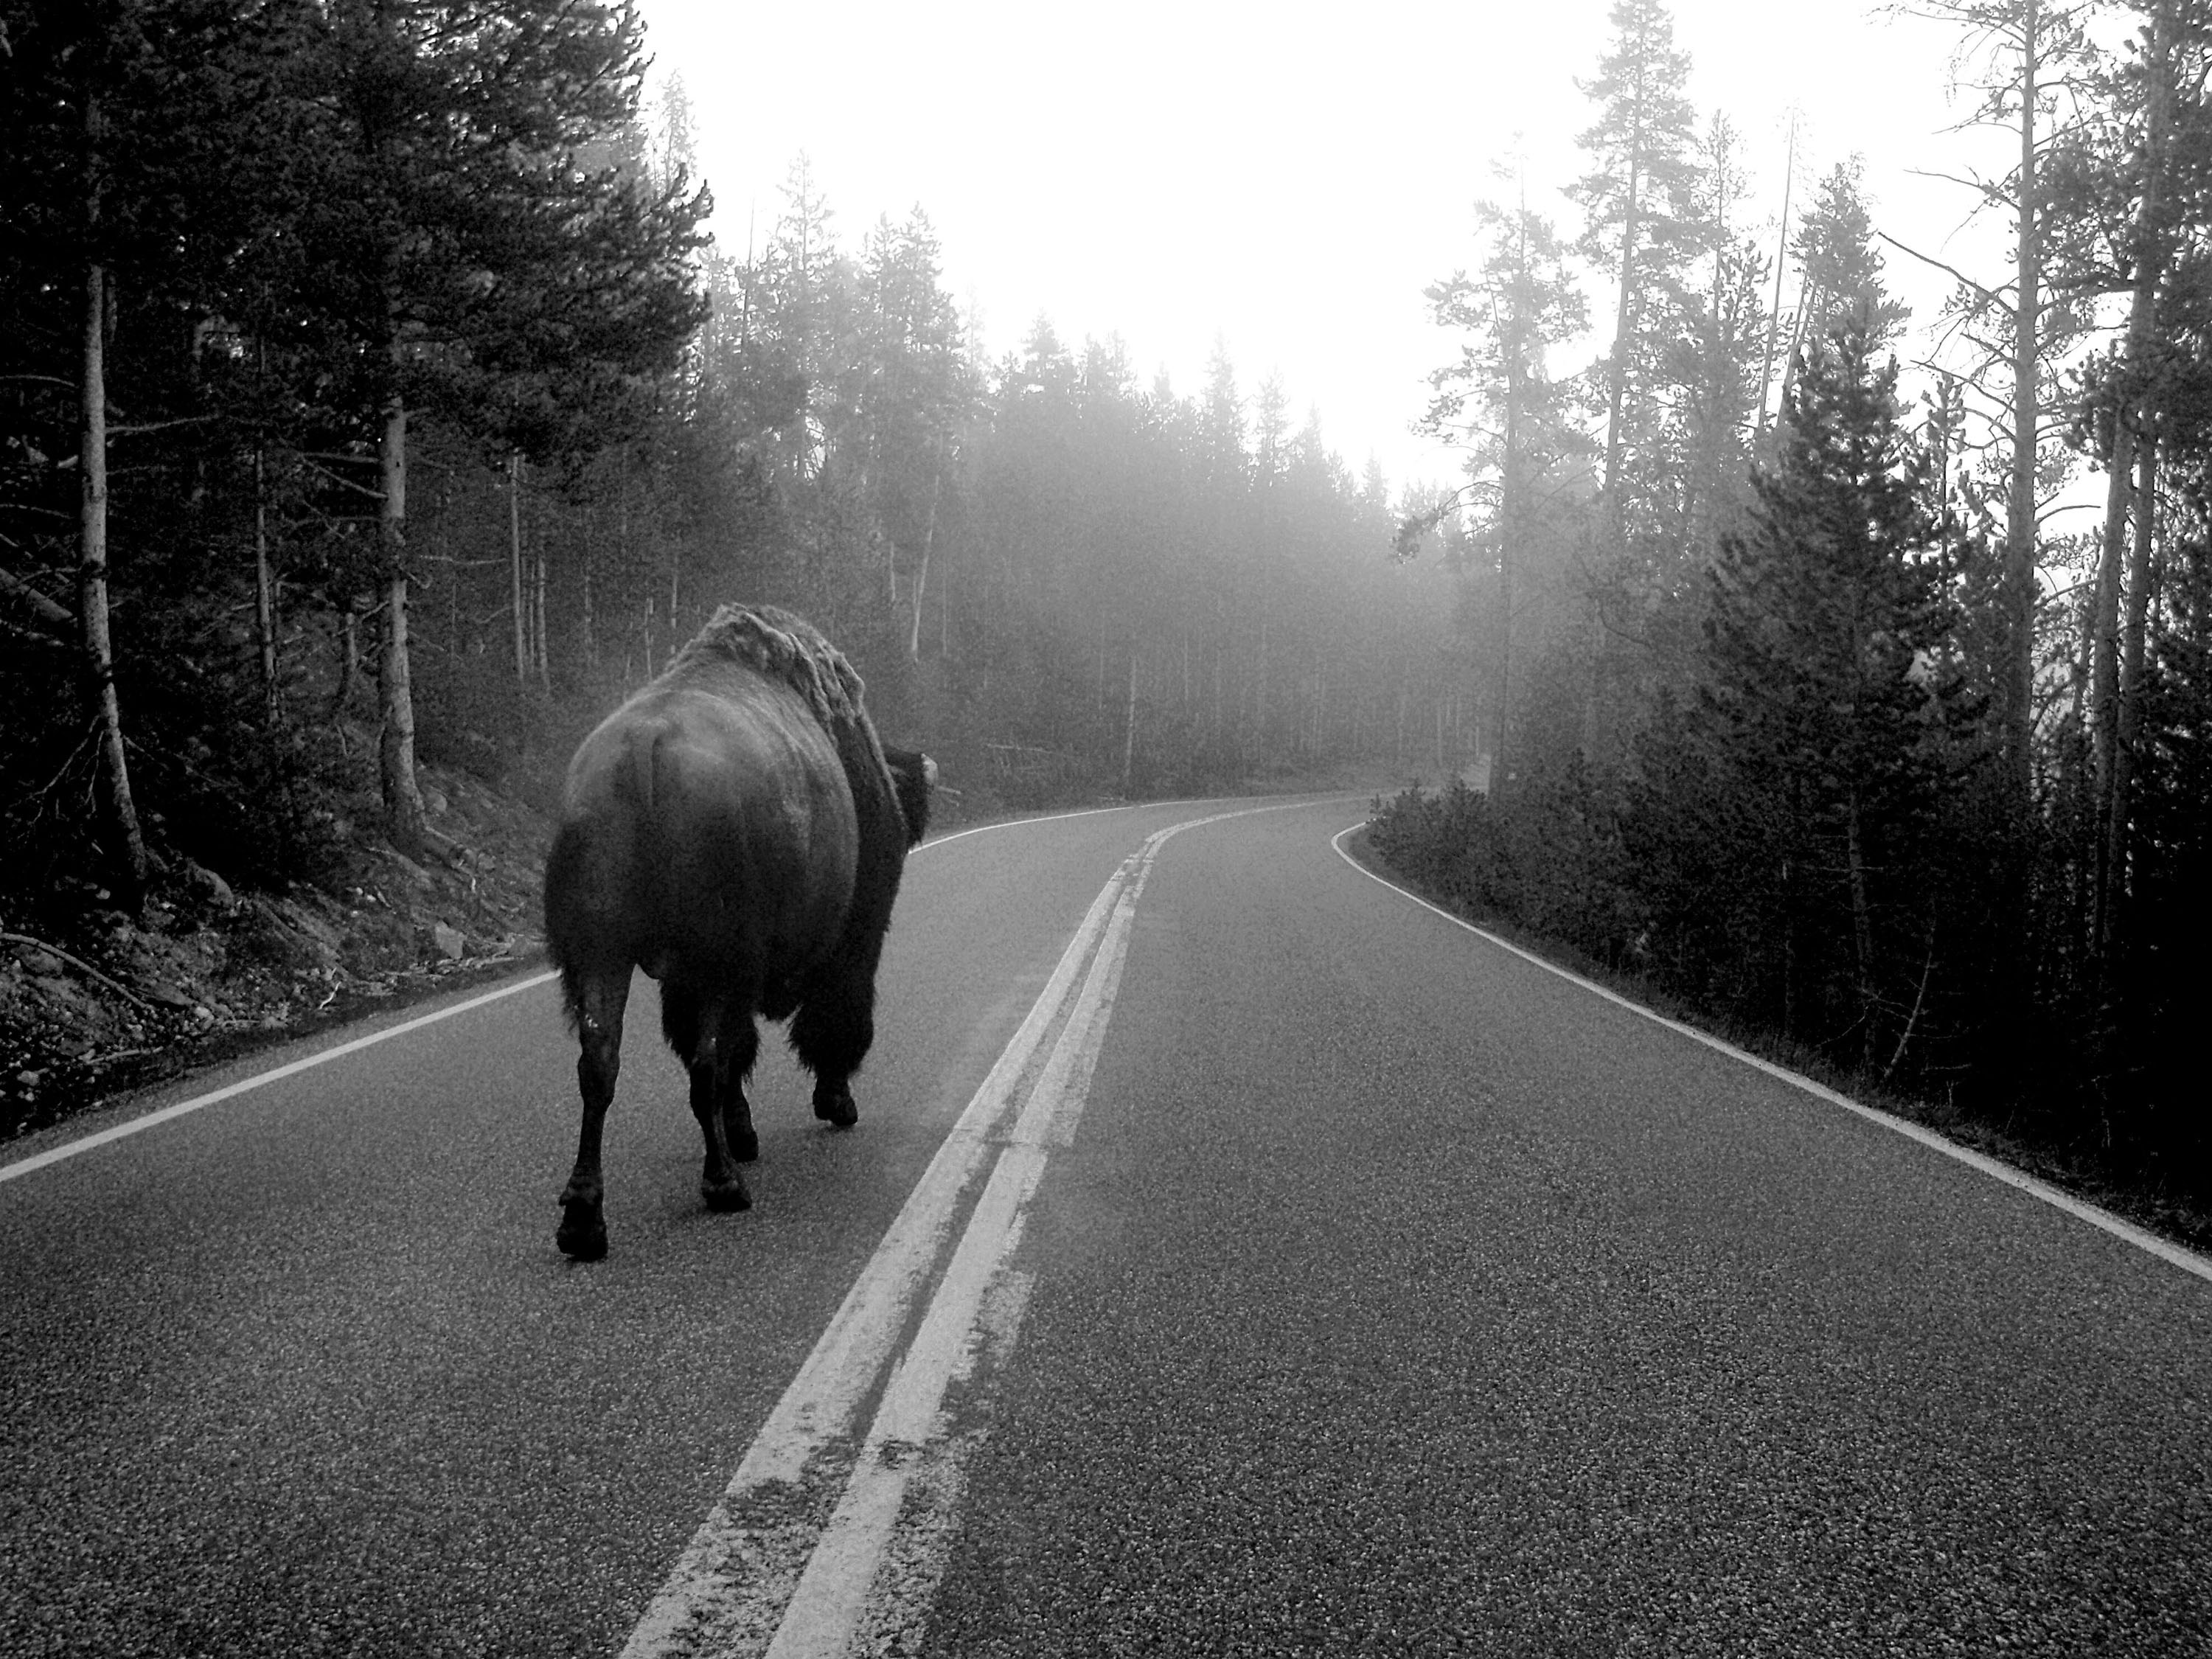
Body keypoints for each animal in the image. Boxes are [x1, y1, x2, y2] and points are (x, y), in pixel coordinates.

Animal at [542, 604, 933, 1260]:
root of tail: (645, 747)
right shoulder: (847, 943)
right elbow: (822, 1019)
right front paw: (834, 1101)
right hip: (715, 964)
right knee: (708, 1064)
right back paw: (724, 1183)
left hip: (602, 955)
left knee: (600, 1064)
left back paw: (583, 1219)